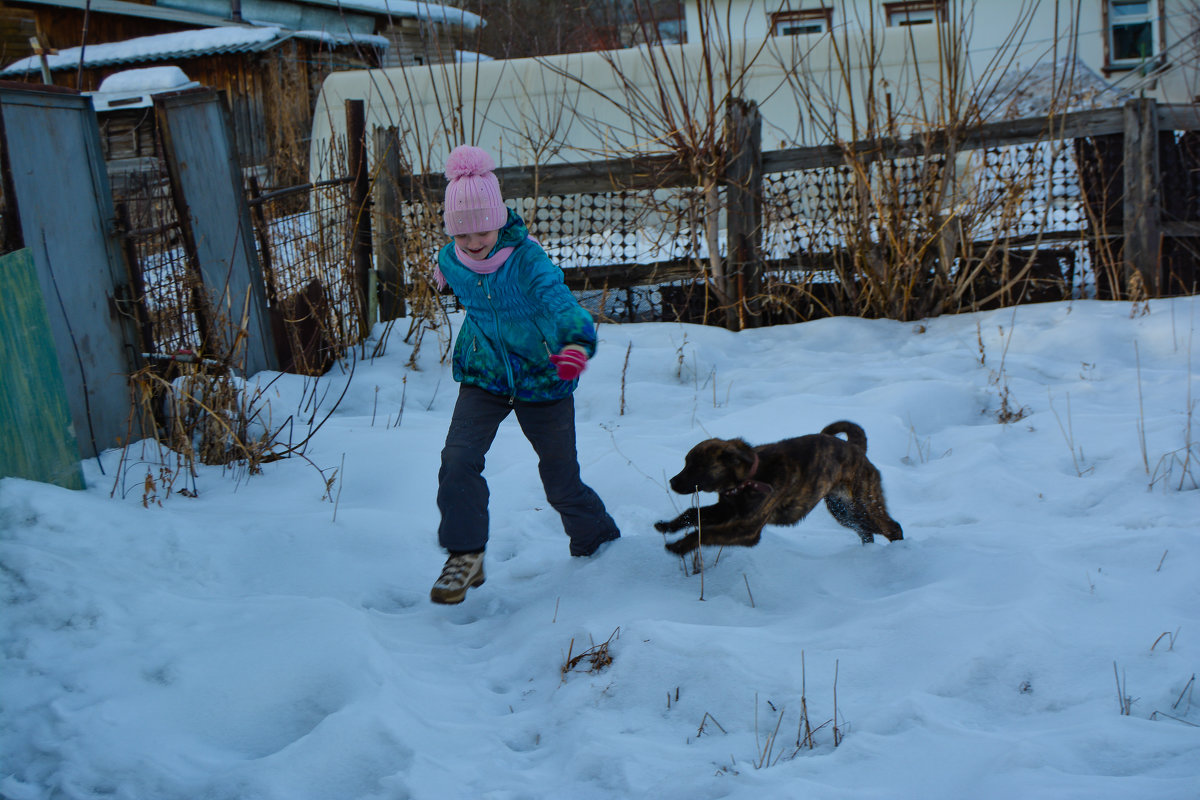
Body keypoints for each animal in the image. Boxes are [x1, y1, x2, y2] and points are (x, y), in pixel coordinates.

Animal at [657, 419, 902, 556]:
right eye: (686, 463)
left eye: (698, 466)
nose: (672, 482)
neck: (748, 478)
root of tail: (857, 449)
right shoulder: (725, 510)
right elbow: (692, 513)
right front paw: (667, 526)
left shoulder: (747, 529)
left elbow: (706, 533)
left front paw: (679, 546)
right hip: (842, 510)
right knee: (866, 531)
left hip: (865, 503)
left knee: (892, 527)